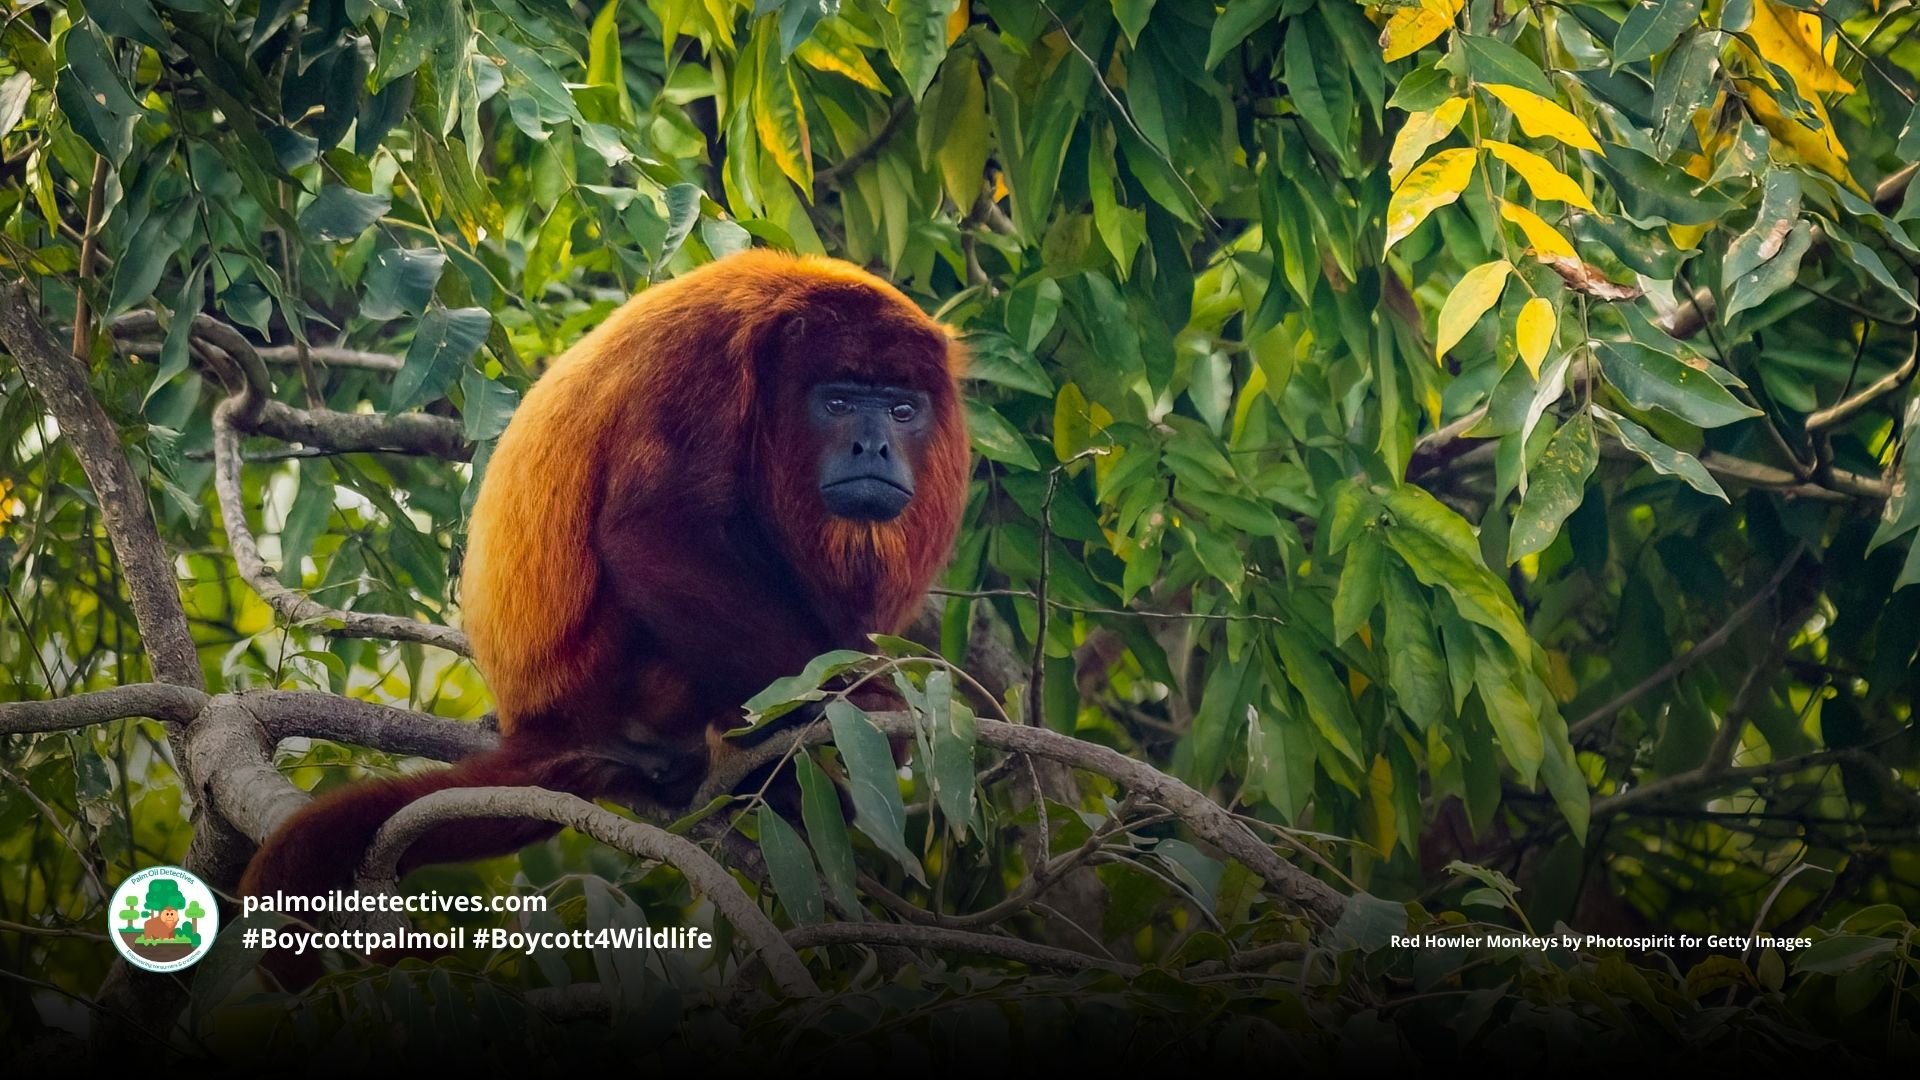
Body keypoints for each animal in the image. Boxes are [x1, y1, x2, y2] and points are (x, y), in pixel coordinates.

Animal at [239, 249, 971, 910]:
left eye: (902, 410)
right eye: (837, 403)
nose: (874, 446)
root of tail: (539, 725)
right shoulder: (703, 363)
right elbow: (651, 535)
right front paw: (865, 701)